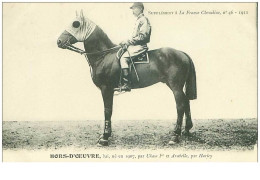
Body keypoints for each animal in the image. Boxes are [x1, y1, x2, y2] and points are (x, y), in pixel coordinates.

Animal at [56, 10, 195, 146]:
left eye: (75, 24)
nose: (59, 41)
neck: (104, 55)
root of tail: (182, 53)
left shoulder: (106, 89)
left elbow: (107, 110)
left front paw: (105, 137)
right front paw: (105, 135)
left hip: (175, 86)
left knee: (180, 106)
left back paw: (175, 135)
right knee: (186, 101)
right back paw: (186, 130)